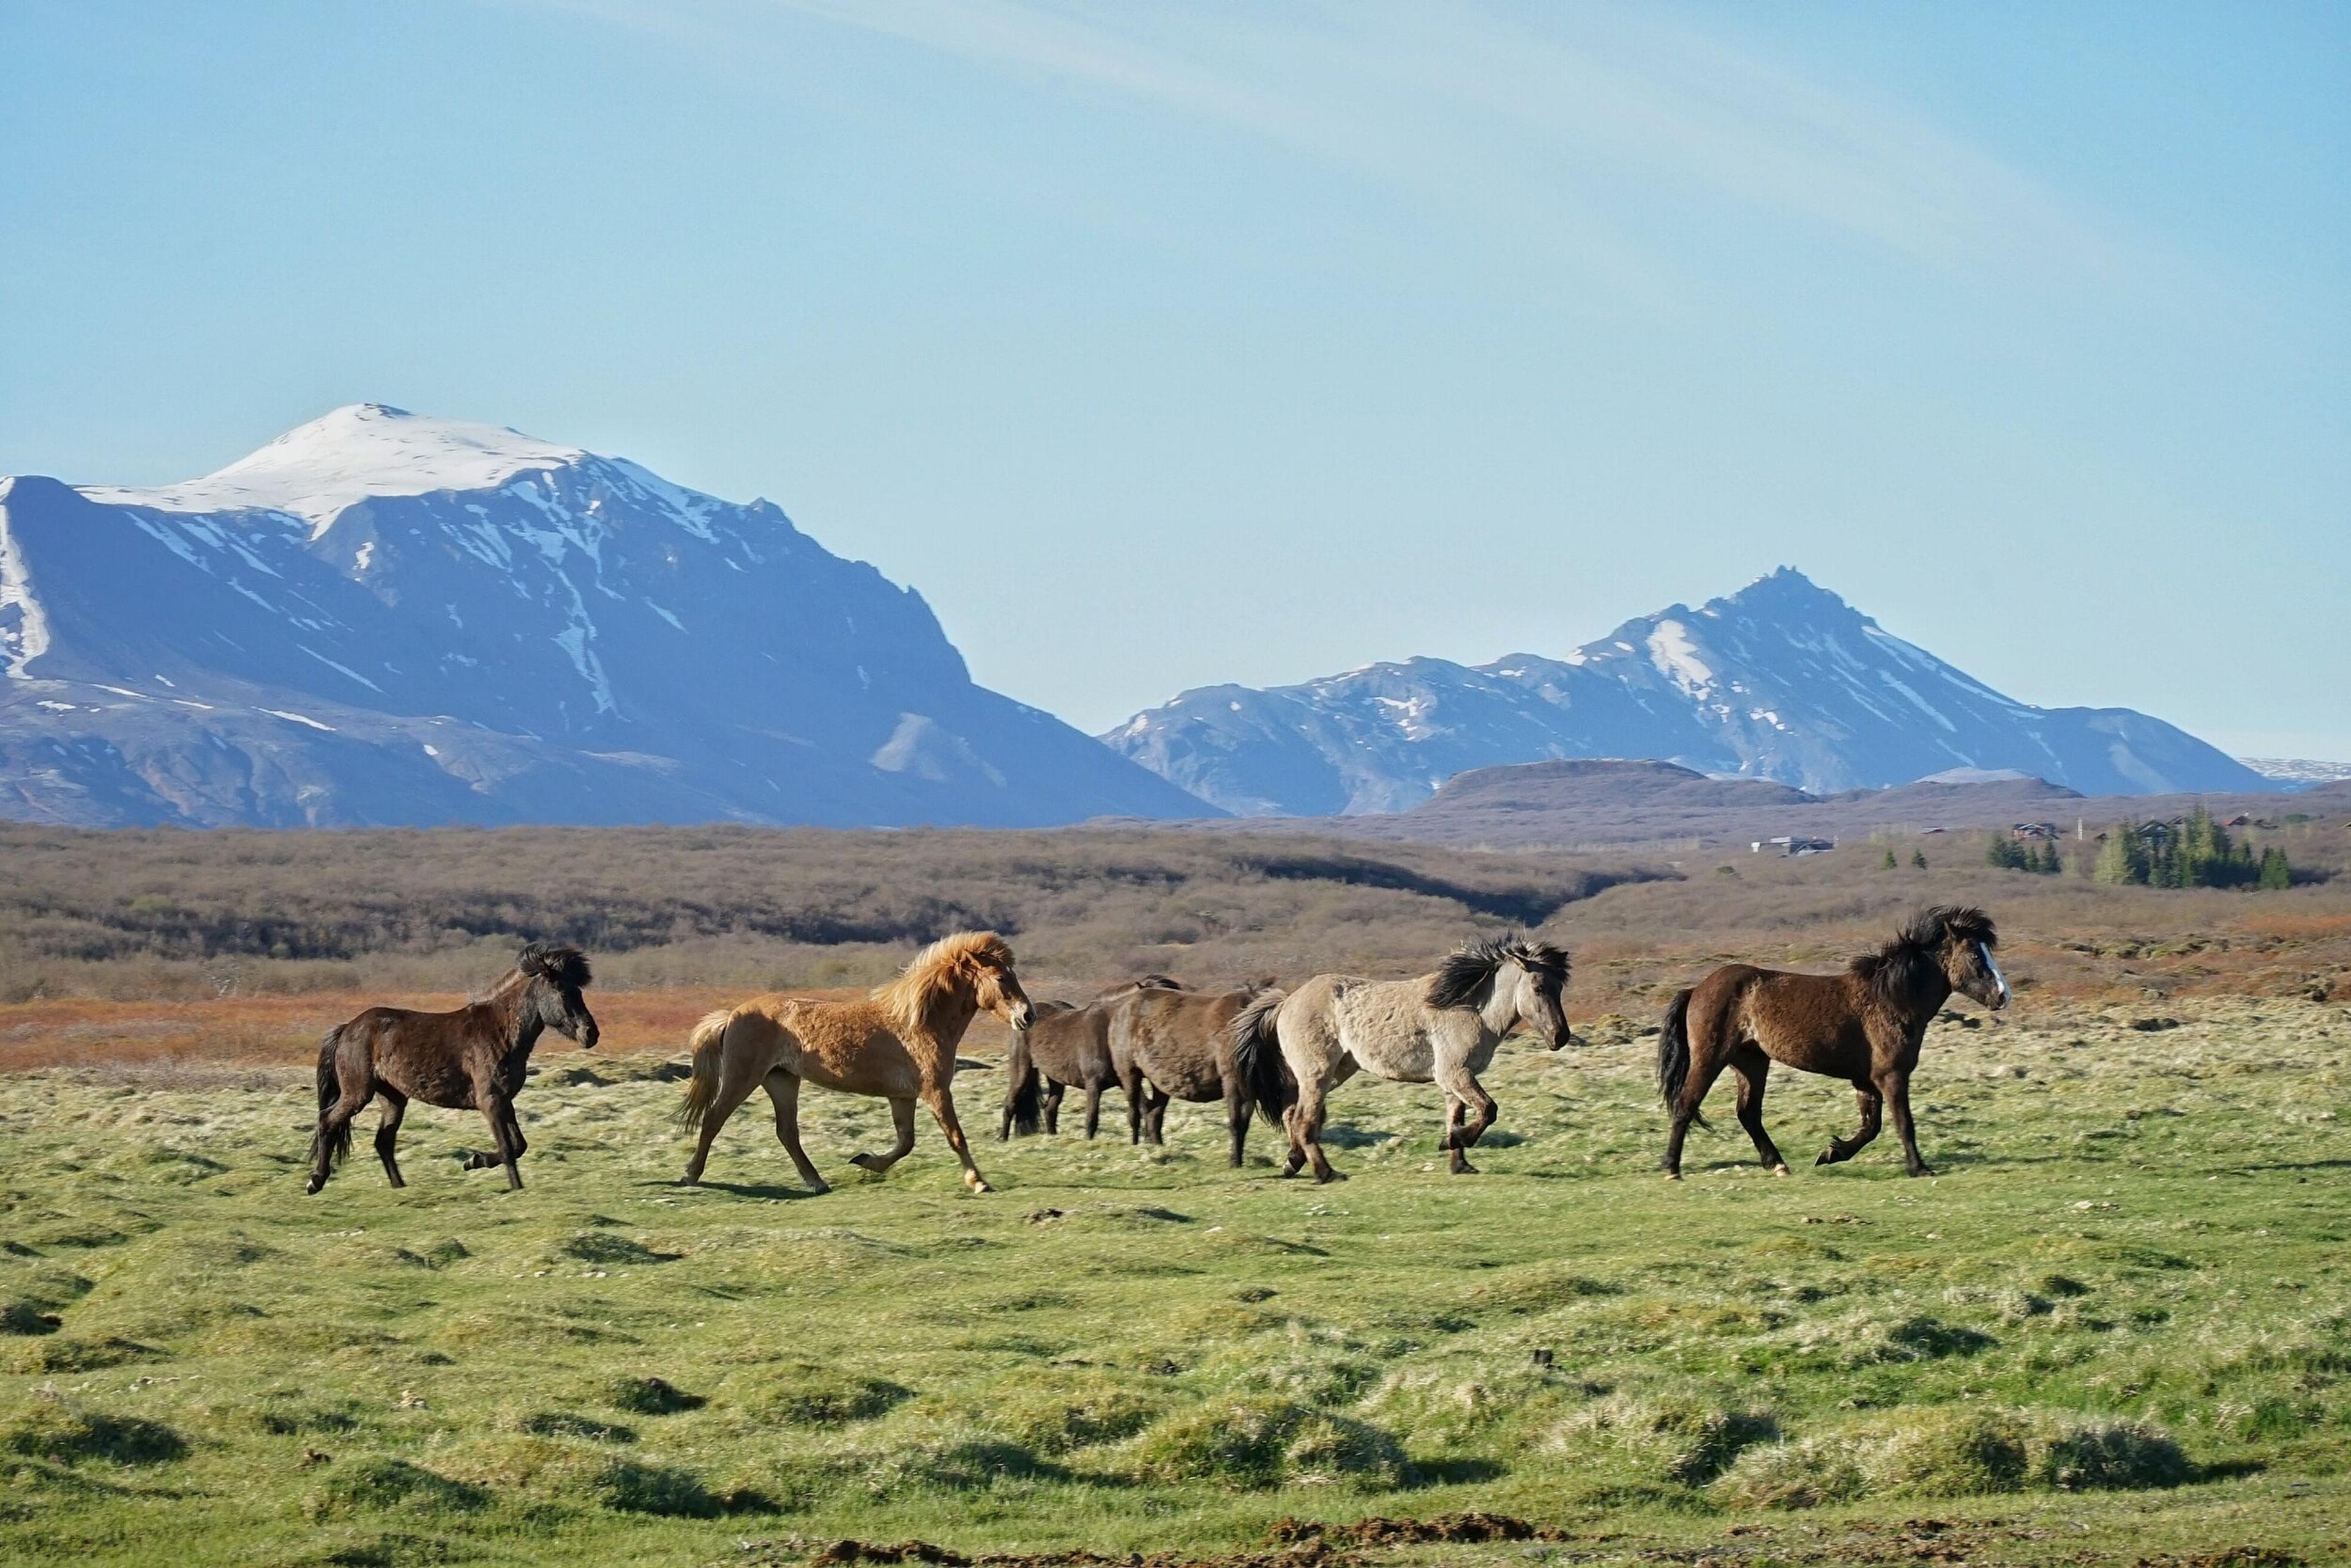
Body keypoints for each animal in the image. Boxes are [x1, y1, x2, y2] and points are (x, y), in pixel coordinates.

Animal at [308, 940, 597, 1194]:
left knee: (383, 1142)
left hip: (393, 1098)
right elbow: (507, 1149)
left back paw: (400, 1187)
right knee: (327, 1120)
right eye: (562, 992)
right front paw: (515, 1187)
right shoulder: (490, 1101)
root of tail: (347, 1028)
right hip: (358, 1094)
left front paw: (474, 1161)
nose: (591, 1034)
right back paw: (316, 1181)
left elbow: (518, 1146)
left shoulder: (505, 1101)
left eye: (580, 991)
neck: (500, 1032)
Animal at [677, 931, 1034, 1203]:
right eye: (1001, 977)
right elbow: (956, 1137)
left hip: (782, 1081)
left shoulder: (903, 1097)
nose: (1028, 1015)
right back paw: (691, 1175)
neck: (920, 1022)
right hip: (743, 1077)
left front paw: (865, 1161)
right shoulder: (935, 1091)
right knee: (714, 1119)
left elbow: (906, 1142)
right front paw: (979, 1182)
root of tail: (732, 1016)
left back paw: (818, 1182)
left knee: (787, 1132)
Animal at [1232, 940, 1580, 1185]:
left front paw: (1460, 1163)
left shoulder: (1454, 1080)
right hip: (1317, 1074)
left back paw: (1293, 1162)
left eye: (1560, 987)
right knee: (1304, 1121)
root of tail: (1286, 1002)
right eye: (1538, 987)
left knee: (1293, 1115)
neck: (1469, 1009)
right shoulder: (1455, 1074)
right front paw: (1452, 1141)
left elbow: (1458, 1115)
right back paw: (1326, 1173)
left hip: (1335, 1072)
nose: (1560, 1037)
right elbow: (1488, 1110)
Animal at [1655, 902, 2022, 1185]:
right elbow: (1904, 1123)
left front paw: (1831, 1153)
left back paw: (1778, 1165)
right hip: (1711, 1058)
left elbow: (1871, 1127)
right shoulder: (1891, 1076)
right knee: (1686, 1104)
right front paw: (1919, 1168)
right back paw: (1672, 1169)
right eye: (1975, 956)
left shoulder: (1866, 1081)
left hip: (1752, 1061)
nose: (2003, 996)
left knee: (1748, 1113)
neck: (1892, 1000)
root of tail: (1696, 990)